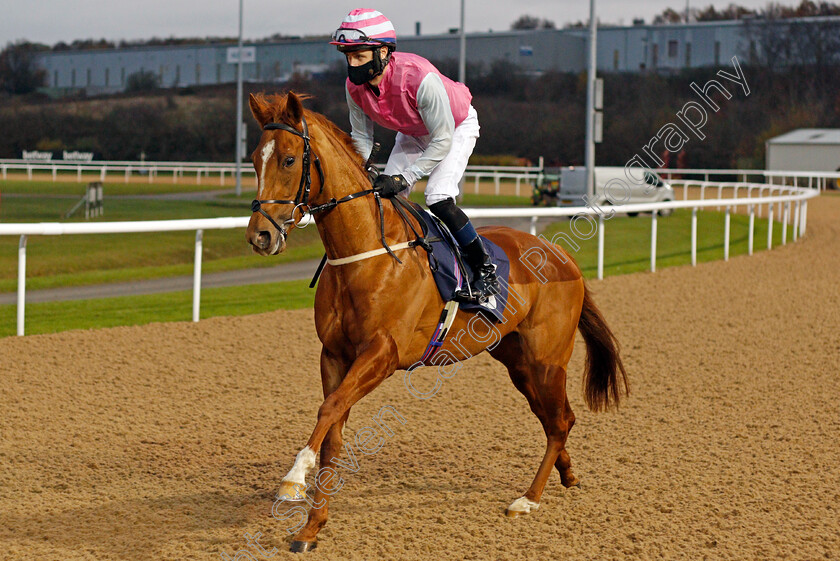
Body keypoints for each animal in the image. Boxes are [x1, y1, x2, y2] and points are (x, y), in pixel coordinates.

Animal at [243, 92, 624, 552]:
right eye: (253, 159)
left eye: (288, 159)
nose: (260, 236)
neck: (365, 254)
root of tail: (564, 257)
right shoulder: (333, 354)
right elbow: (333, 430)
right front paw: (311, 528)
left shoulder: (383, 354)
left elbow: (329, 409)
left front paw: (294, 479)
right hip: (517, 360)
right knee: (556, 419)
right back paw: (566, 475)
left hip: (547, 358)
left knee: (559, 420)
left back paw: (528, 498)